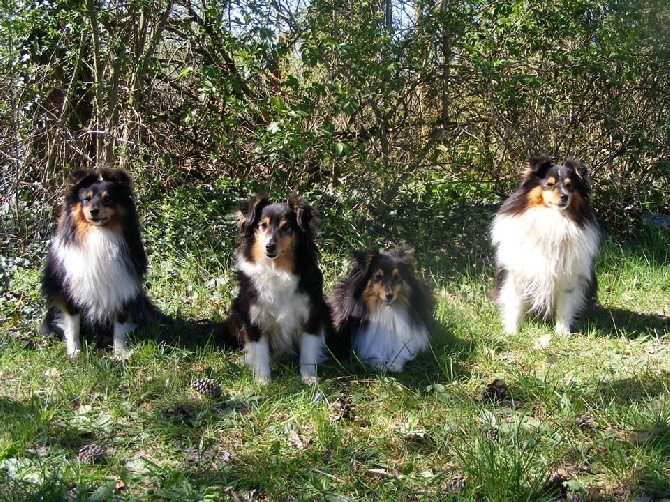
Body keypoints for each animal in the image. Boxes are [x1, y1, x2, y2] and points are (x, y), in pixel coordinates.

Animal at [490, 153, 600, 334]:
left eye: (570, 186)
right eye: (549, 184)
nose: (564, 197)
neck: (553, 217)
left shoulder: (569, 276)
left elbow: (564, 307)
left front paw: (563, 333)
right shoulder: (517, 272)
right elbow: (514, 304)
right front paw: (511, 332)